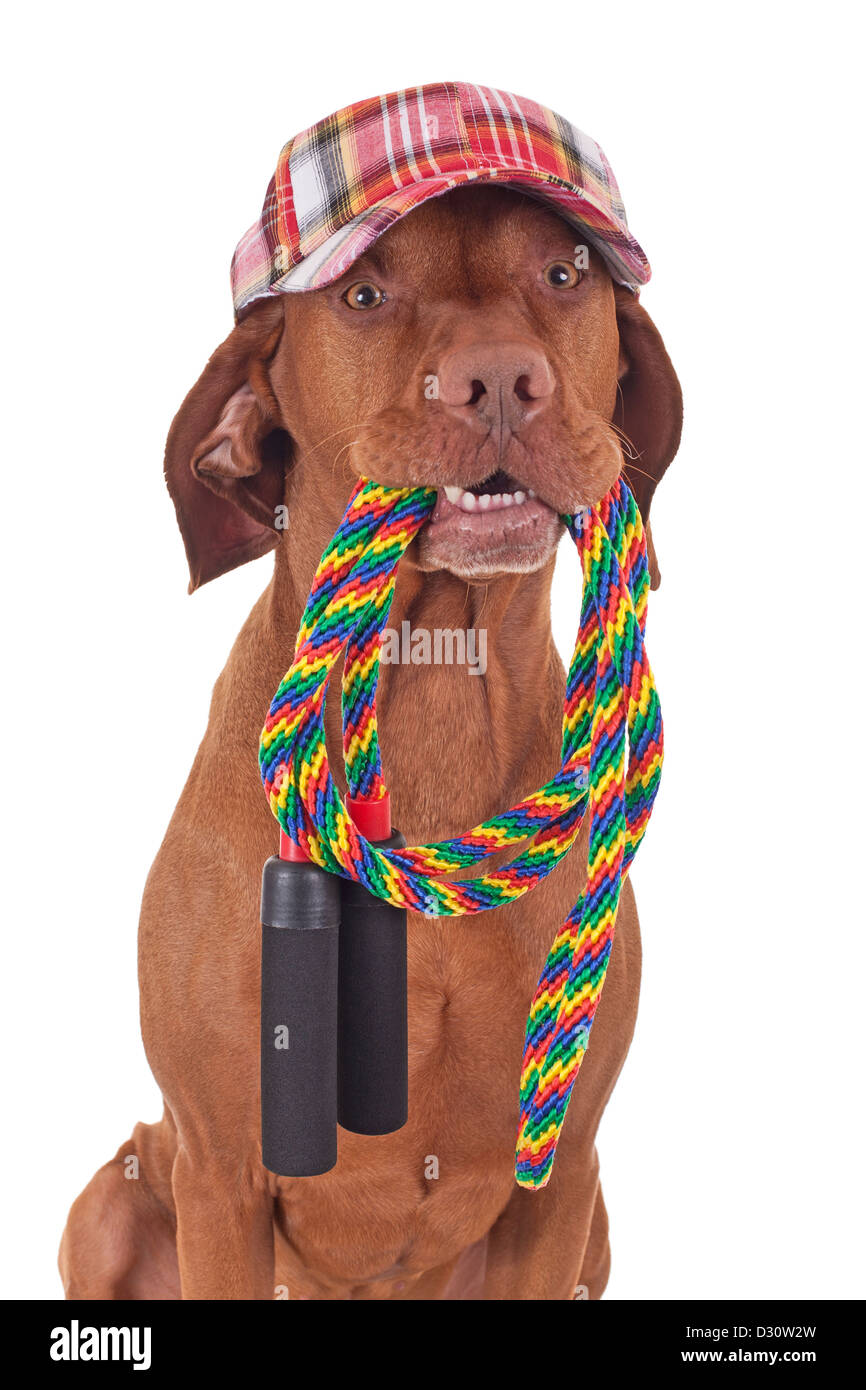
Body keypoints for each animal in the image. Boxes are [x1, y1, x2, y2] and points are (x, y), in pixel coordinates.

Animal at [61, 187, 683, 1301]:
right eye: (363, 294)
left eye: (564, 274)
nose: (500, 379)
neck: (430, 696)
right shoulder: (220, 1172)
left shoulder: (560, 1175)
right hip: (109, 1196)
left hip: (598, 1224)